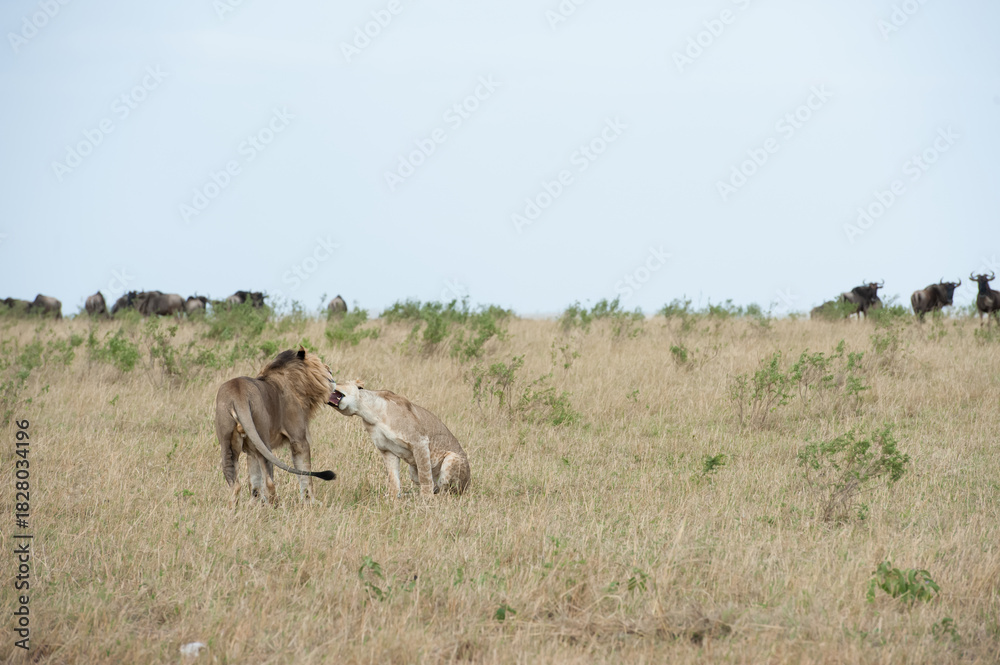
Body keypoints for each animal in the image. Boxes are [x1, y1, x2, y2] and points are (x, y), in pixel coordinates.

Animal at [214, 347, 337, 506]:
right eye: (322, 365)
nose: (330, 370)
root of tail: (238, 394)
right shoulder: (299, 440)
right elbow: (305, 473)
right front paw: (311, 502)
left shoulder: (251, 450)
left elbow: (254, 479)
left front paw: (255, 504)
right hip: (263, 438)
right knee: (269, 482)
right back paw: (275, 505)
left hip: (228, 443)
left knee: (235, 483)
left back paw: (236, 508)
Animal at [329, 380, 470, 497]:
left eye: (338, 381)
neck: (369, 412)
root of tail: (468, 486)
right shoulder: (386, 450)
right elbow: (393, 478)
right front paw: (393, 499)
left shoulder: (419, 441)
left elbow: (425, 475)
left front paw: (426, 499)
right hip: (412, 471)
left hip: (452, 459)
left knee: (446, 493)